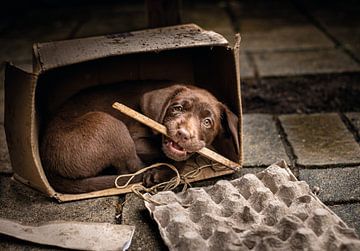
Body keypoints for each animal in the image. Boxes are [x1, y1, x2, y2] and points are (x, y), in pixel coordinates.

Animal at [40, 83, 239, 193]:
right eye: (177, 108)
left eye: (207, 122)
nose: (183, 134)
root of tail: (47, 164)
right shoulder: (137, 140)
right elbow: (173, 158)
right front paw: (163, 171)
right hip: (108, 124)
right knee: (129, 169)